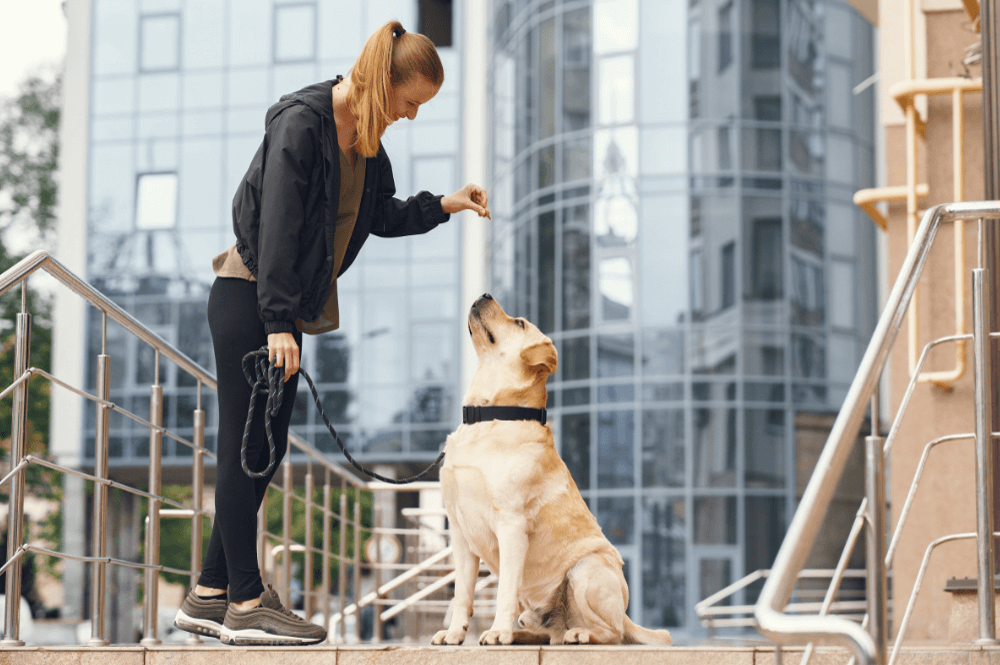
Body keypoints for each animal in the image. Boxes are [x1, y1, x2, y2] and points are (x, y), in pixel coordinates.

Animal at [430, 294, 672, 644]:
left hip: (586, 569)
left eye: (519, 323)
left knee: (610, 633)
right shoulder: (461, 534)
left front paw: (497, 631)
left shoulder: (512, 525)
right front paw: (454, 633)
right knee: (546, 633)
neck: (490, 415)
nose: (485, 295)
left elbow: (504, 590)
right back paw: (523, 635)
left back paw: (579, 634)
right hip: (540, 609)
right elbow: (462, 593)